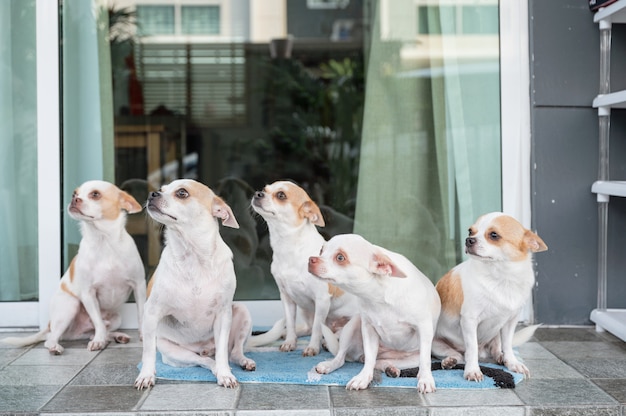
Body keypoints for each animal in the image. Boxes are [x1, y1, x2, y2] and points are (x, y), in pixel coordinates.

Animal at [1, 180, 145, 354]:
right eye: (74, 193)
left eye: (95, 194)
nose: (74, 199)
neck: (103, 240)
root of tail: (49, 324)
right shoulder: (88, 293)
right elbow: (98, 321)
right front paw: (98, 342)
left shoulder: (139, 286)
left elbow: (141, 314)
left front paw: (144, 336)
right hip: (70, 306)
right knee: (51, 338)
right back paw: (57, 347)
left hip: (117, 317)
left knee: (98, 331)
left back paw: (116, 336)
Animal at [249, 180, 356, 356]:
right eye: (264, 189)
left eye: (281, 195)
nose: (257, 193)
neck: (287, 247)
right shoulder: (287, 298)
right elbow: (291, 322)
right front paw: (290, 342)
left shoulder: (321, 300)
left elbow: (318, 329)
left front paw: (313, 347)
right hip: (306, 310)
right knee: (307, 327)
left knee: (336, 332)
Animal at [308, 234, 438, 394]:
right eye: (321, 250)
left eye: (340, 258)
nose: (311, 259)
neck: (378, 296)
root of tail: (357, 356)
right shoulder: (368, 329)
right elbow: (370, 358)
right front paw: (363, 378)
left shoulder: (424, 328)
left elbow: (425, 360)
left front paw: (425, 379)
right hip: (352, 326)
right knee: (343, 357)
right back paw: (330, 365)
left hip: (410, 359)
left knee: (382, 361)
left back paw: (391, 369)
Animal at [432, 213, 544, 382]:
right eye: (470, 231)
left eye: (494, 235)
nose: (468, 239)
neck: (502, 277)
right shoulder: (469, 320)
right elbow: (472, 348)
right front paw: (472, 370)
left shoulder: (510, 322)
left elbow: (508, 345)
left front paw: (513, 363)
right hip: (436, 343)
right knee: (459, 355)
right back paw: (449, 361)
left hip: (496, 333)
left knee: (496, 348)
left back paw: (500, 357)